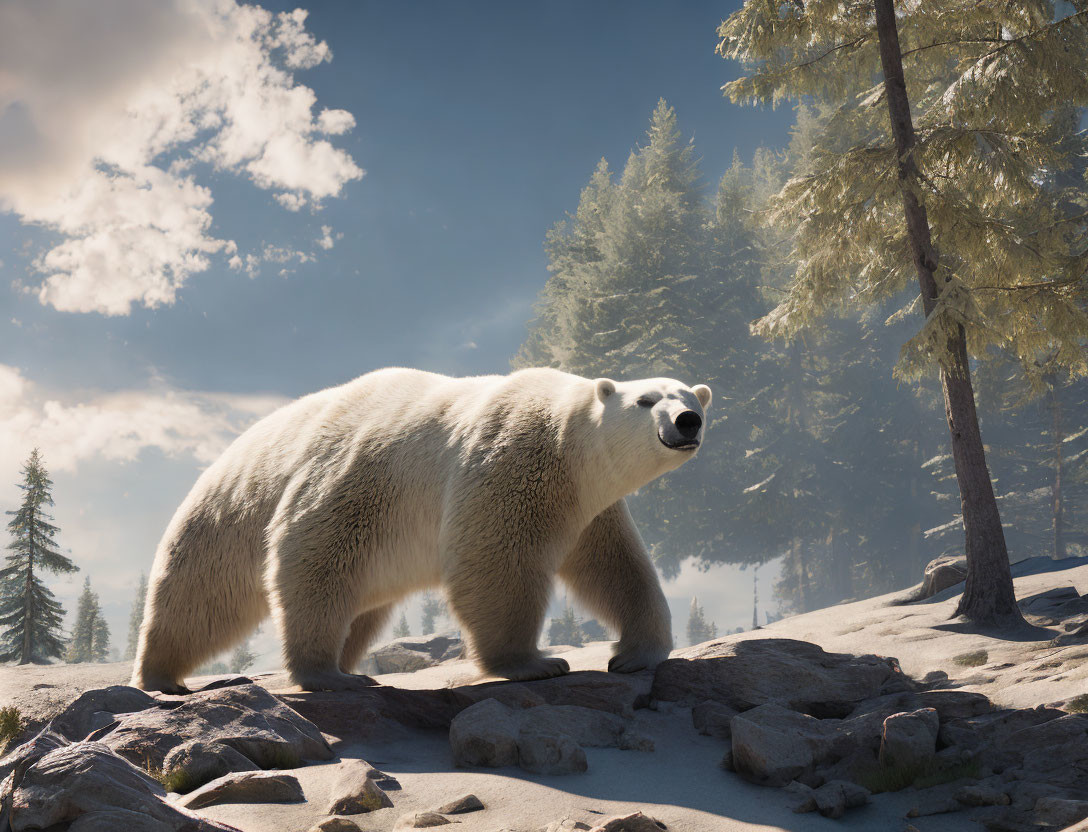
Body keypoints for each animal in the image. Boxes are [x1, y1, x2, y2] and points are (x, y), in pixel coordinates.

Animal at [133, 367, 713, 691]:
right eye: (645, 400)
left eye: (691, 396)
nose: (688, 421)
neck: (564, 438)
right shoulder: (509, 460)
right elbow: (497, 562)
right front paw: (533, 663)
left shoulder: (589, 504)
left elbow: (616, 567)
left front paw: (635, 653)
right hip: (259, 511)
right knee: (234, 589)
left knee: (360, 604)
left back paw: (347, 664)